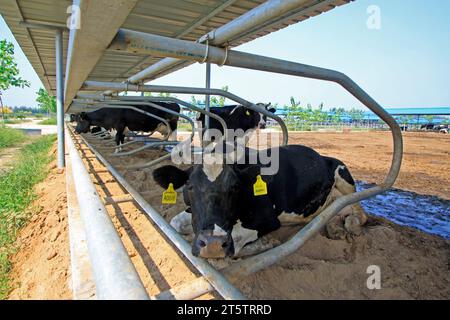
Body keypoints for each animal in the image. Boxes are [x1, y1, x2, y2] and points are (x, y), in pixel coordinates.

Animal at [153, 145, 368, 260]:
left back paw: (351, 224)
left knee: (360, 211)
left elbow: (236, 242)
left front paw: (265, 244)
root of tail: (323, 156)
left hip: (344, 175)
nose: (212, 243)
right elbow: (175, 222)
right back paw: (335, 227)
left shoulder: (268, 219)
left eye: (235, 187)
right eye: (189, 185)